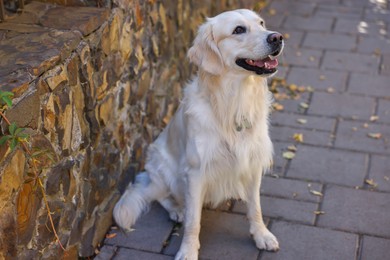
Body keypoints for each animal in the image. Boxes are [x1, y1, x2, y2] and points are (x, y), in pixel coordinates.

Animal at [112, 8, 284, 260]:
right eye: (238, 30)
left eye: (261, 23)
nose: (277, 37)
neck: (234, 103)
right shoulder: (195, 173)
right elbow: (194, 221)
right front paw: (188, 250)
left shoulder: (253, 162)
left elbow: (256, 207)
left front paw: (261, 234)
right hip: (164, 169)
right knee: (161, 195)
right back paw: (177, 210)